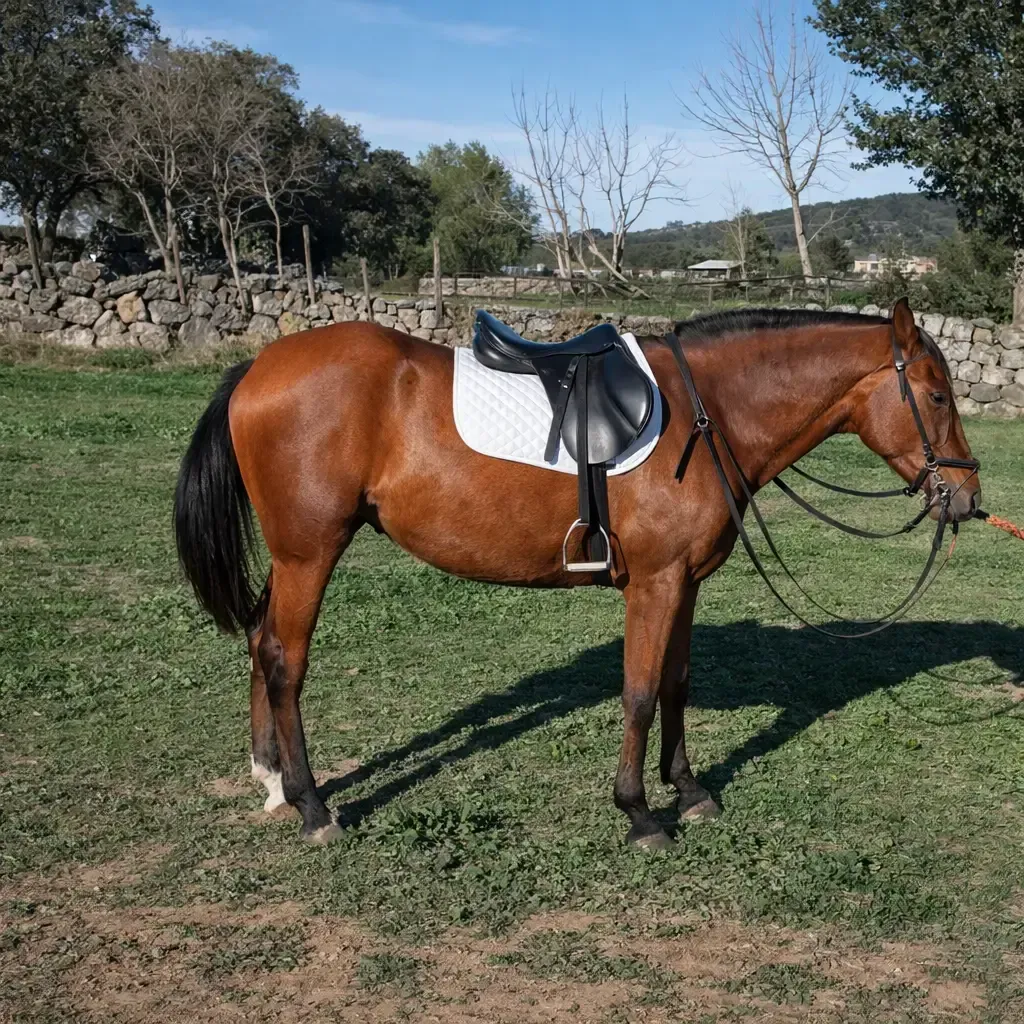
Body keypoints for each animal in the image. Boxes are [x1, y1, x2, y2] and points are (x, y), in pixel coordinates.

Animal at [173, 298, 981, 848]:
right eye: (938, 396)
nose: (968, 497)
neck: (708, 414)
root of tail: (257, 368)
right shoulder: (654, 583)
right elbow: (640, 694)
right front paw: (639, 813)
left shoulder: (684, 582)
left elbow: (677, 685)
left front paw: (689, 790)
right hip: (310, 553)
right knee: (285, 660)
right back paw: (312, 806)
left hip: (292, 557)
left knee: (258, 641)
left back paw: (272, 782)